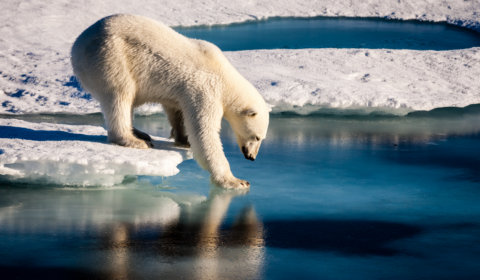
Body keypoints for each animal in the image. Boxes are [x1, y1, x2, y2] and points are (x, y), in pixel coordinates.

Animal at [73, 13, 272, 188]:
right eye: (256, 137)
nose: (251, 157)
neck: (224, 77)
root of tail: (77, 45)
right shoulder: (206, 90)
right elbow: (204, 133)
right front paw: (236, 181)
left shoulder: (182, 91)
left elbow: (176, 110)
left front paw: (183, 139)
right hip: (111, 57)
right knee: (120, 95)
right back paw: (135, 140)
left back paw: (140, 133)